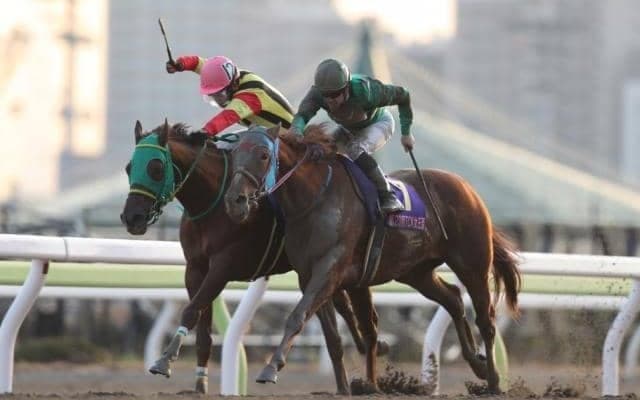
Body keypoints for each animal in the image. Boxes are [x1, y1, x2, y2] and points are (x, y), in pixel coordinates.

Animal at [119, 120, 388, 395]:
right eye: (129, 167)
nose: (132, 217)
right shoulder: (195, 268)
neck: (212, 204)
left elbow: (192, 309)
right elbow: (202, 326)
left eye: (155, 167)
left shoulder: (224, 266)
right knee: (346, 307)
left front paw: (163, 363)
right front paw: (199, 384)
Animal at [223, 124, 522, 393]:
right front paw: (344, 388)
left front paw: (270, 368)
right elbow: (331, 336)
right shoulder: (309, 276)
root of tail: (466, 188)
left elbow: (297, 316)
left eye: (263, 155)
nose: (235, 201)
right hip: (416, 271)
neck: (315, 198)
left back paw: (494, 381)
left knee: (485, 319)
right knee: (453, 299)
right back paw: (477, 365)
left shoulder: (328, 270)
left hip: (472, 265)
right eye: (234, 152)